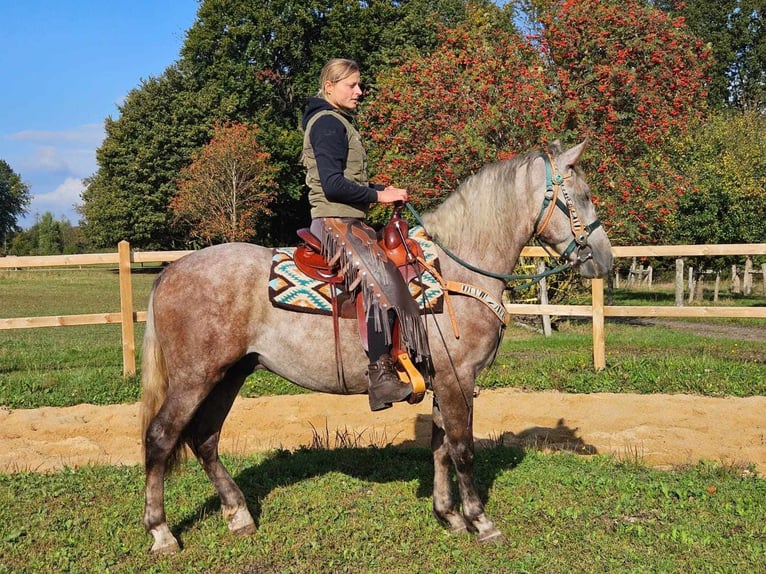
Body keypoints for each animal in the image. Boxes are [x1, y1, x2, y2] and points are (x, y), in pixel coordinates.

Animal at [141, 140, 616, 552]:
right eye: (583, 195)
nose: (605, 260)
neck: (454, 270)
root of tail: (170, 271)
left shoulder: (443, 380)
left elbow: (440, 447)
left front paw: (449, 515)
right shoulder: (458, 379)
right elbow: (462, 449)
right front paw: (481, 521)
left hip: (229, 374)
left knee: (205, 438)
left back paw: (239, 514)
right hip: (194, 378)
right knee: (161, 437)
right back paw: (162, 533)